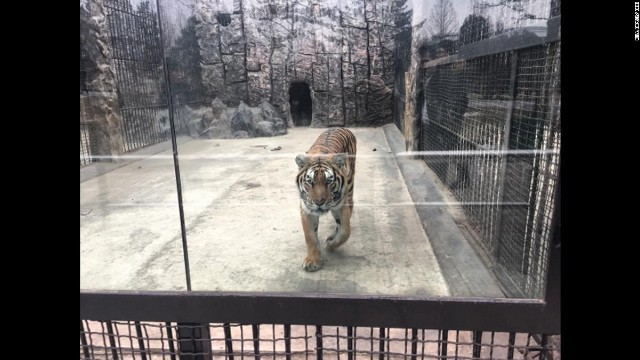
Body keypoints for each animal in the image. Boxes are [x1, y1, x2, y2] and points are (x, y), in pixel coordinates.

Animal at [296, 128, 358, 272]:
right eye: (310, 181)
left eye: (329, 181)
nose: (319, 202)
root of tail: (343, 128)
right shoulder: (307, 208)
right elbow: (310, 236)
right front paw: (312, 260)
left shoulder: (341, 206)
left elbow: (345, 231)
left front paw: (330, 245)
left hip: (350, 186)